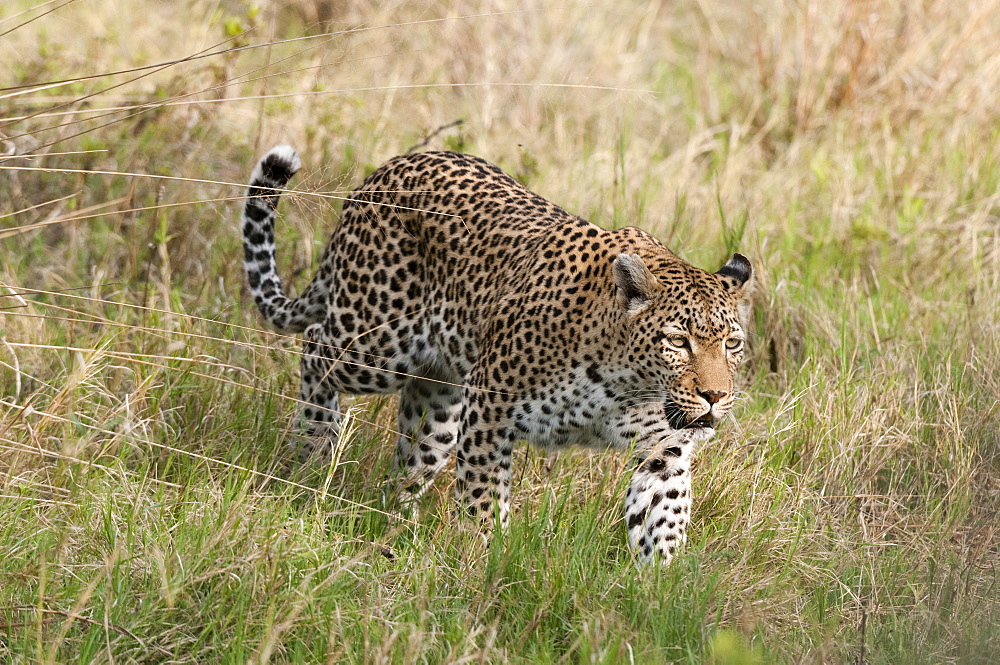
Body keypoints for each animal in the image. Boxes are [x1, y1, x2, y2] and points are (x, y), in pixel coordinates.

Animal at [240, 145, 752, 564]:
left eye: (732, 344)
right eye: (678, 342)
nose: (715, 397)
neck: (626, 382)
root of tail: (383, 171)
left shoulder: (665, 447)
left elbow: (665, 513)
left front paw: (657, 587)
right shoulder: (491, 408)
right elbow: (484, 499)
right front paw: (483, 560)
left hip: (440, 403)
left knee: (408, 464)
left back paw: (395, 523)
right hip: (374, 344)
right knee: (314, 349)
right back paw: (312, 450)